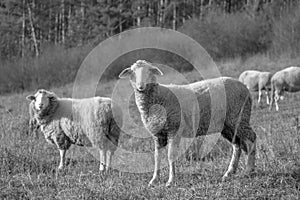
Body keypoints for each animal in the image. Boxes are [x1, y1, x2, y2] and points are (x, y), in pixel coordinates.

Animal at [118, 60, 256, 187]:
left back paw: (248, 170)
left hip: (239, 117)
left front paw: (170, 181)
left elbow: (170, 156)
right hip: (228, 125)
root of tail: (244, 87)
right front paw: (154, 180)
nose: (141, 86)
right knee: (237, 145)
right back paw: (229, 173)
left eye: (149, 71)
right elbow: (157, 157)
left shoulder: (174, 129)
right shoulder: (158, 134)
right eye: (133, 72)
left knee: (251, 138)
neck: (158, 97)